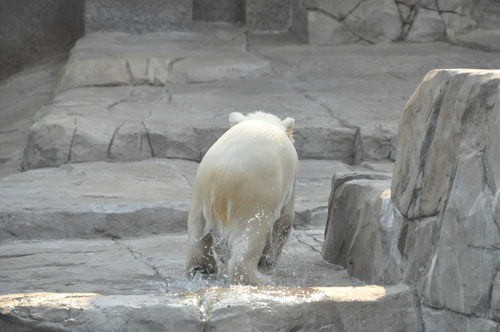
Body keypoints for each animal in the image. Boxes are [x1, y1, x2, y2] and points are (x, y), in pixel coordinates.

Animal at [186, 111, 298, 286]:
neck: (263, 121)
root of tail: (222, 176)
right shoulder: (289, 180)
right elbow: (284, 222)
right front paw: (269, 261)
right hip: (255, 197)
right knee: (252, 236)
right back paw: (261, 280)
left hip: (201, 194)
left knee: (197, 234)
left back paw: (202, 270)